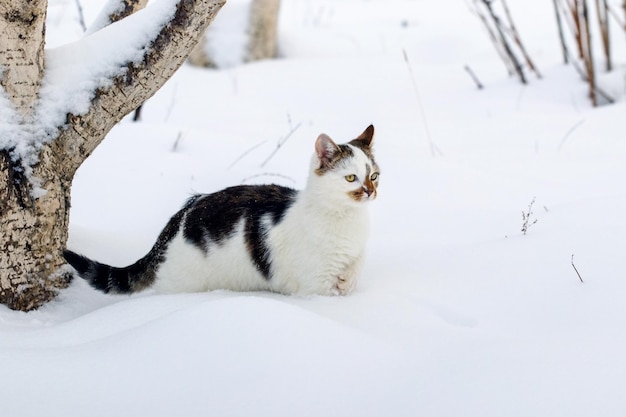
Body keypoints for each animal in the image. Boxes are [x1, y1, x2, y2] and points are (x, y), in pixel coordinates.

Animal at [66, 123, 380, 296]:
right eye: (351, 178)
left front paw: (349, 280)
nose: (370, 191)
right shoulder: (314, 285)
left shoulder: (355, 254)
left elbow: (358, 264)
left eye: (374, 175)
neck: (347, 220)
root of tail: (181, 214)